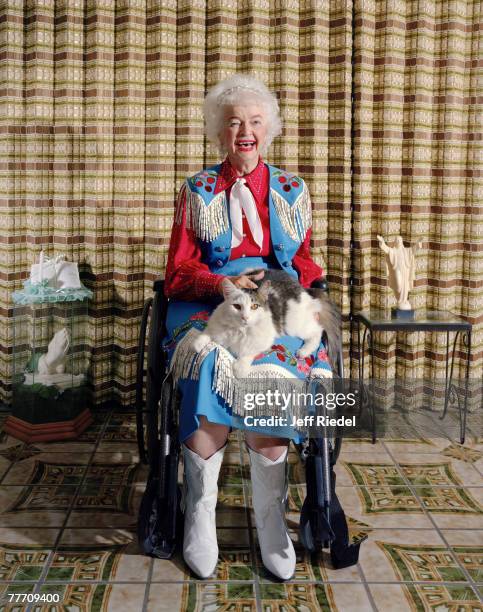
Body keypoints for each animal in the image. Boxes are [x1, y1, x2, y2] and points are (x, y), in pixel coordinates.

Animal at [191, 268, 342, 378]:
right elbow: (207, 333)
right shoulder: (216, 323)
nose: (245, 317)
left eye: (254, 307)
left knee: (318, 330)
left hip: (294, 324)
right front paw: (198, 343)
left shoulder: (263, 339)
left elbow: (248, 351)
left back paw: (303, 352)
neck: (240, 330)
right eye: (237, 306)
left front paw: (240, 368)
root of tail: (302, 288)